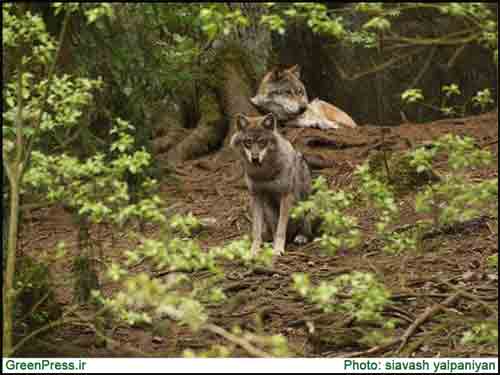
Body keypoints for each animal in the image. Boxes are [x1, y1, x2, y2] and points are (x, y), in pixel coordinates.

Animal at [230, 113, 312, 258]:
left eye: (262, 142)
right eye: (248, 142)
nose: (255, 158)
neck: (264, 173)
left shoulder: (286, 195)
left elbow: (280, 230)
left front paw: (278, 249)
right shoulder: (256, 196)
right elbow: (257, 230)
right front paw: (254, 250)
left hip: (305, 206)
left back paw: (301, 237)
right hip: (269, 211)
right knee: (272, 230)